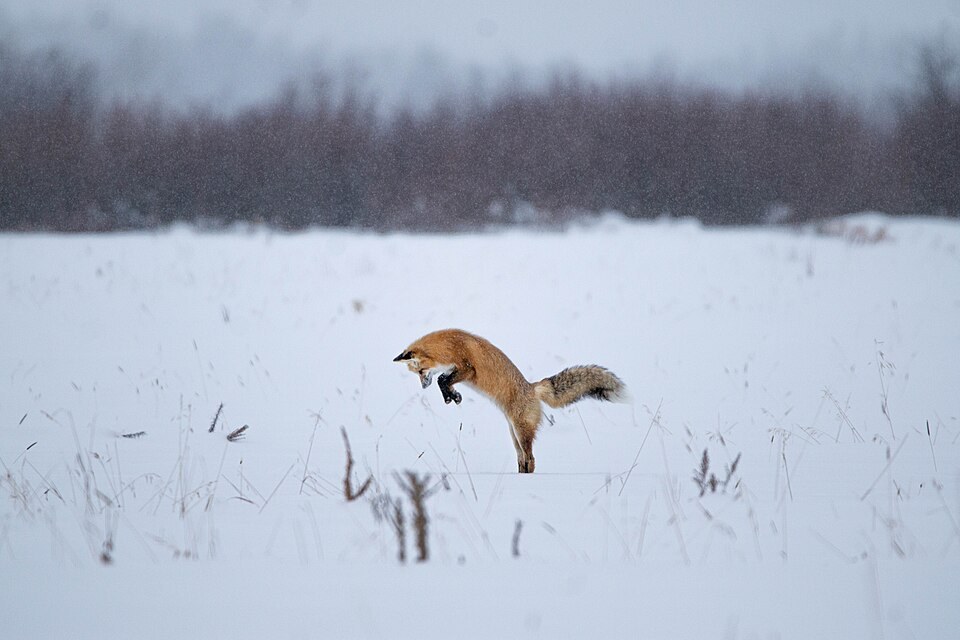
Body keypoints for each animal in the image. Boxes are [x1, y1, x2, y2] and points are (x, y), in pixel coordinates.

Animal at [393, 329, 627, 473]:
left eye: (420, 371)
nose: (423, 387)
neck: (449, 345)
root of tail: (532, 387)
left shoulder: (467, 368)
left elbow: (442, 379)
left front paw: (451, 395)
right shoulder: (455, 370)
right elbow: (444, 381)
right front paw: (453, 396)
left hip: (521, 432)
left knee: (531, 459)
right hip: (514, 436)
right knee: (523, 460)